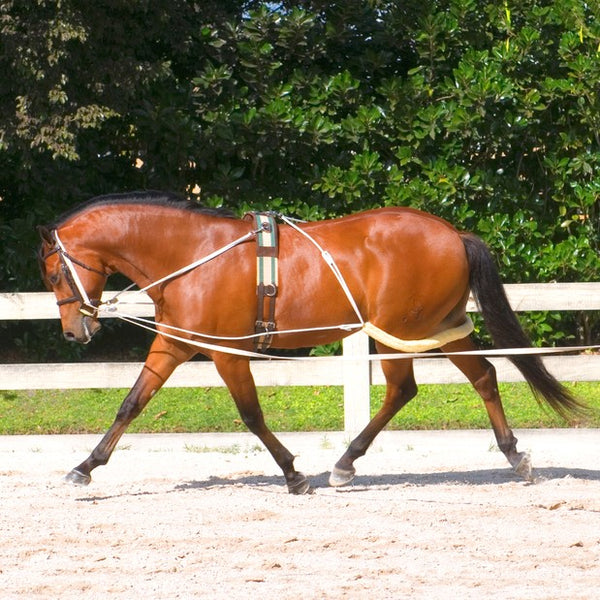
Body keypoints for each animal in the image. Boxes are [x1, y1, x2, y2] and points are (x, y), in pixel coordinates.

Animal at [38, 192, 580, 492]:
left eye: (53, 273)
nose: (74, 331)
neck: (192, 254)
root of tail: (452, 234)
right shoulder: (172, 344)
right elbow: (131, 404)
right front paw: (85, 467)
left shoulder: (225, 353)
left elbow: (252, 415)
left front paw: (293, 475)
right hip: (437, 329)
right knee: (483, 376)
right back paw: (515, 457)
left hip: (400, 333)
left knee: (403, 390)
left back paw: (344, 464)